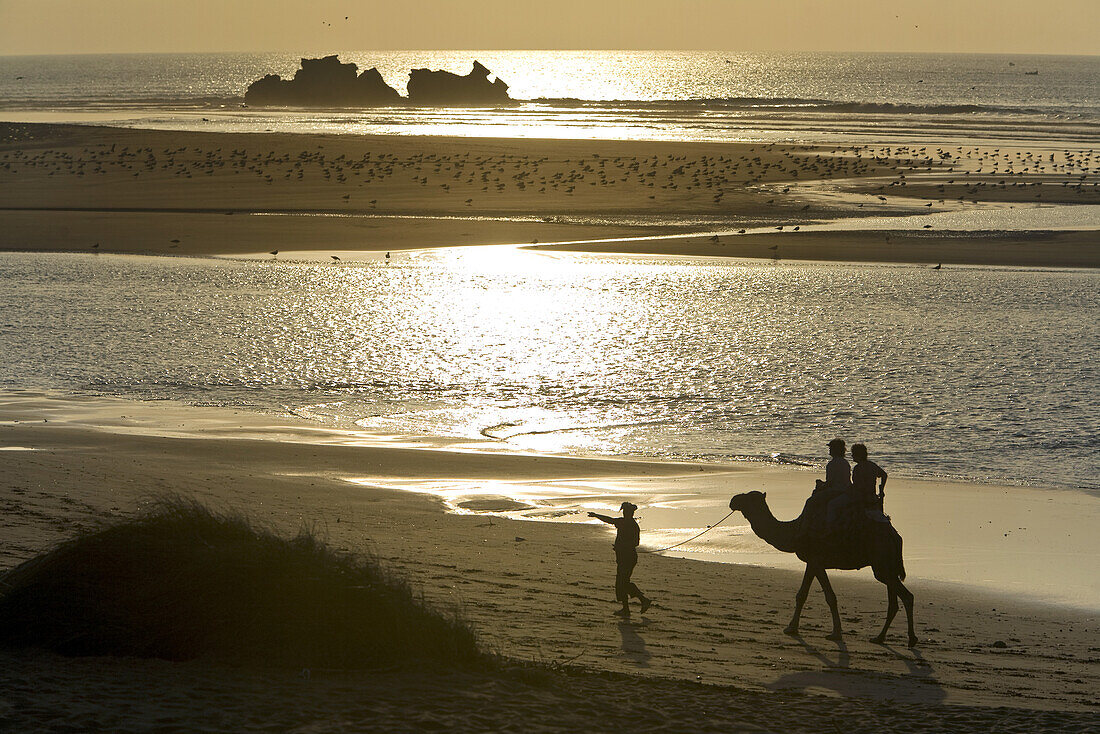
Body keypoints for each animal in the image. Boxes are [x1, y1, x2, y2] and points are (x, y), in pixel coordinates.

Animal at [726, 490, 915, 647]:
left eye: (749, 497)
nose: (733, 500)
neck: (794, 530)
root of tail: (895, 536)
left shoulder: (816, 560)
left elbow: (829, 596)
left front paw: (835, 633)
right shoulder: (812, 562)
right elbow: (802, 594)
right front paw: (792, 628)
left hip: (882, 563)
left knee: (907, 596)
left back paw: (911, 639)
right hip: (887, 566)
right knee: (894, 601)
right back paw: (879, 637)